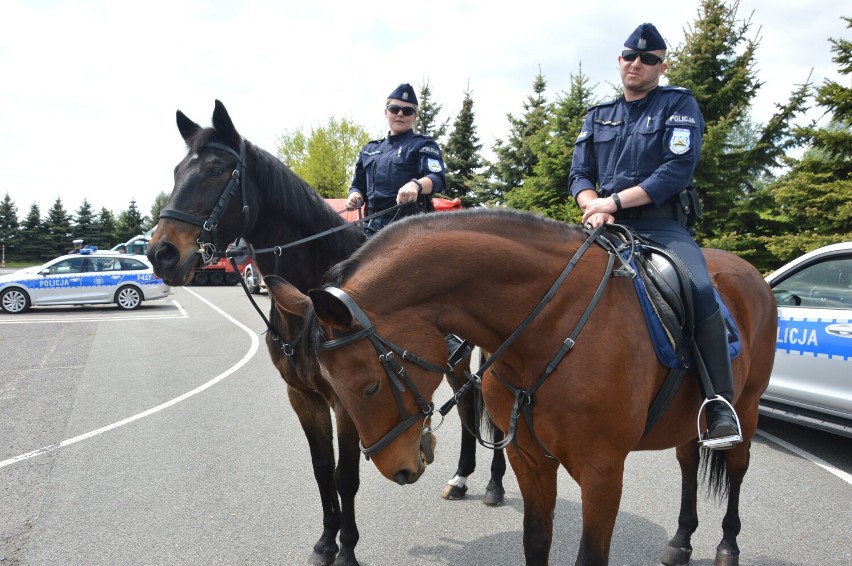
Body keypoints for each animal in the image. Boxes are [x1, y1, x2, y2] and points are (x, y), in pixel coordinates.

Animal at [268, 209, 780, 566]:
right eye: (333, 387)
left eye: (370, 387)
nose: (399, 470)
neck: (551, 326)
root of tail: (754, 275)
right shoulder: (528, 458)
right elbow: (536, 541)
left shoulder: (602, 472)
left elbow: (590, 556)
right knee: (688, 462)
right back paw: (681, 540)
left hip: (748, 408)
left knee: (736, 472)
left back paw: (727, 546)